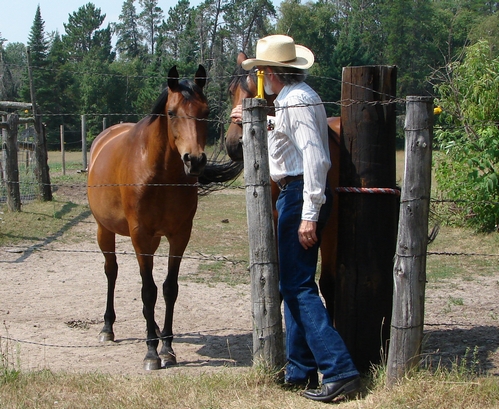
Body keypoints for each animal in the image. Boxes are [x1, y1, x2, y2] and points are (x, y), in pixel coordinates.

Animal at [88, 64, 211, 370]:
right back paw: (107, 328)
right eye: (172, 113)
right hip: (104, 230)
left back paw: (153, 329)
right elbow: (148, 292)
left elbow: (168, 289)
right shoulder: (140, 236)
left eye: (205, 111)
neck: (160, 175)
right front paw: (152, 352)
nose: (195, 160)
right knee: (111, 271)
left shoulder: (179, 235)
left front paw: (166, 347)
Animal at [228, 52, 342, 318]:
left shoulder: (330, 226)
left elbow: (329, 283)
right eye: (230, 91)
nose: (234, 145)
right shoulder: (274, 220)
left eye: (255, 91)